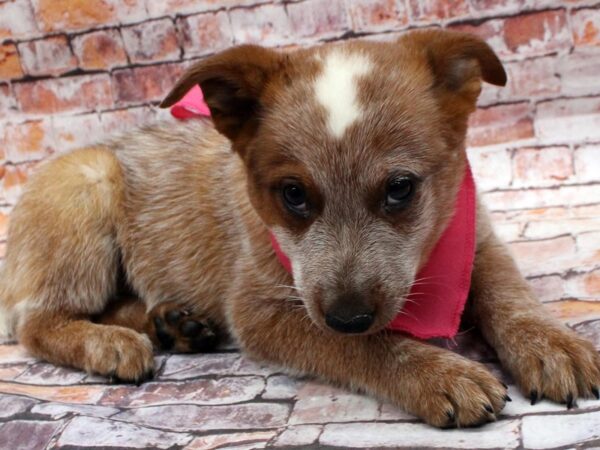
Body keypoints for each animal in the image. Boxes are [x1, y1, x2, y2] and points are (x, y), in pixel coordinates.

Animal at [1, 29, 600, 428]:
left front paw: (552, 344)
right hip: (89, 182)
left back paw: (174, 323)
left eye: (400, 187)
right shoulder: (259, 309)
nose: (348, 314)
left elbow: (508, 292)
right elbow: (368, 346)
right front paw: (438, 373)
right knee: (37, 321)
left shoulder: (474, 236)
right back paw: (112, 343)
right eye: (293, 194)